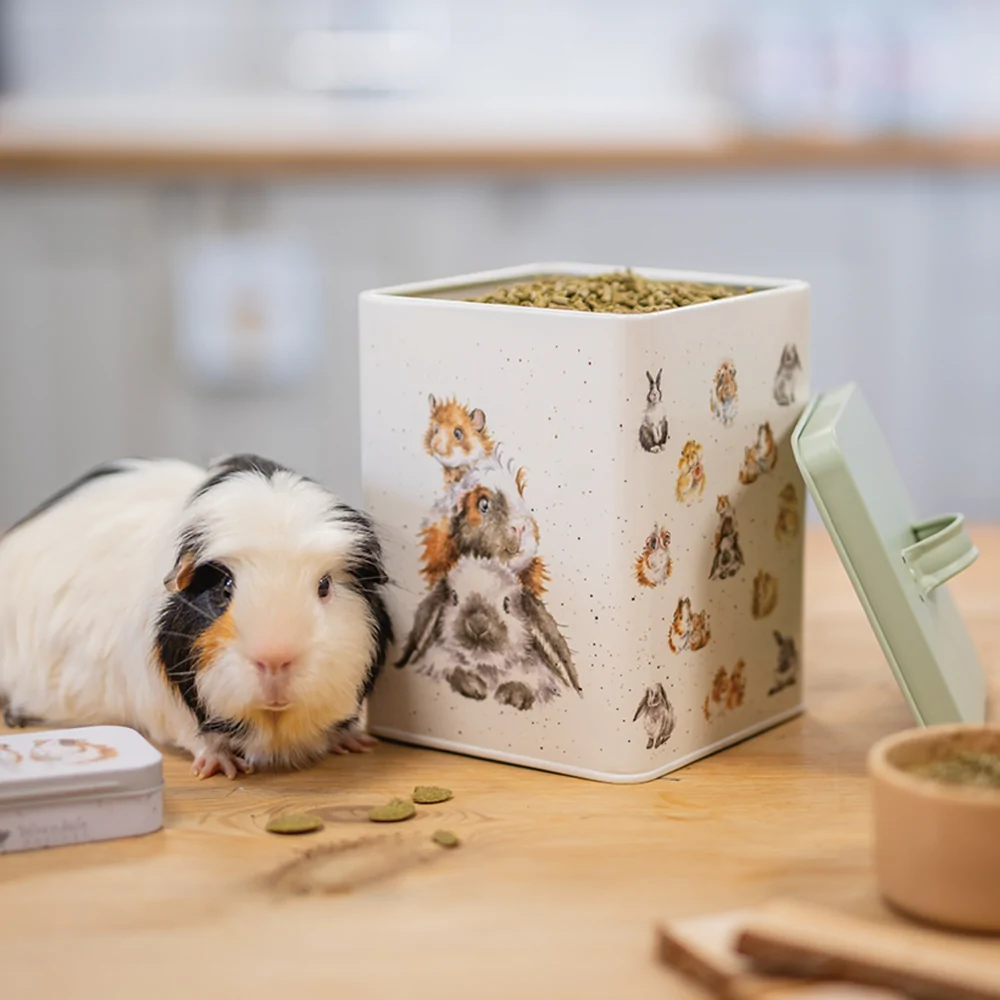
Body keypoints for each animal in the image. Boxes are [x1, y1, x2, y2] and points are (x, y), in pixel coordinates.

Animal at [0, 454, 392, 779]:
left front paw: (356, 742)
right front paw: (222, 767)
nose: (275, 660)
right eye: (225, 587)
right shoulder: (165, 707)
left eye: (324, 585)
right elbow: (197, 736)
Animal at [395, 555, 579, 710]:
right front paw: (472, 685)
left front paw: (512, 695)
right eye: (454, 597)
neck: (486, 665)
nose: (478, 624)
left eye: (506, 603)